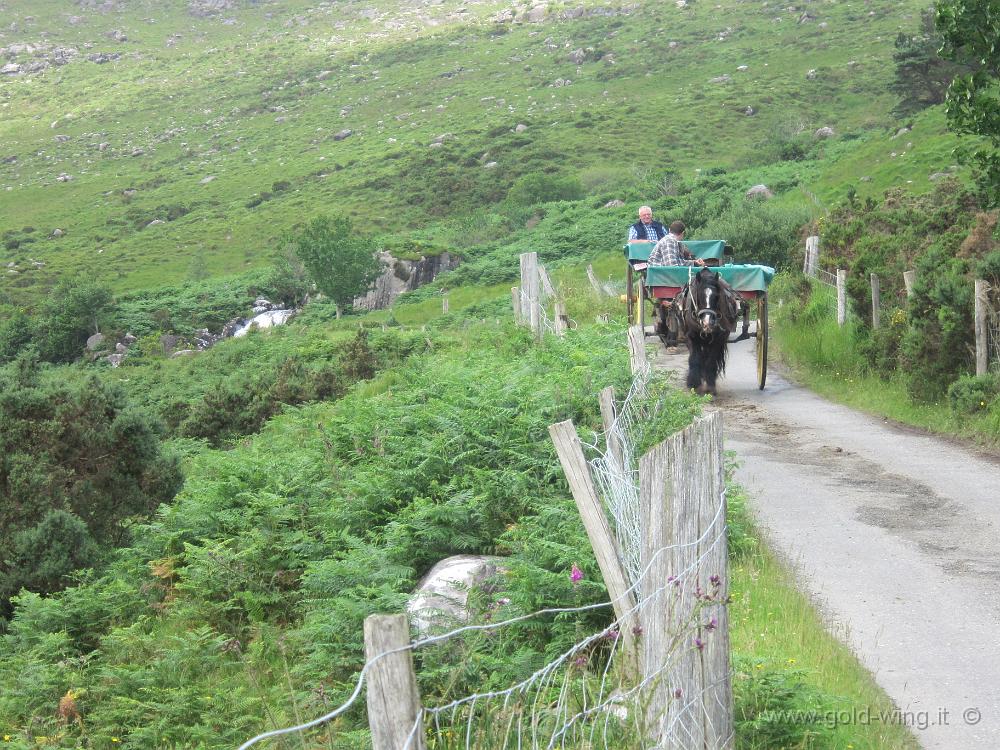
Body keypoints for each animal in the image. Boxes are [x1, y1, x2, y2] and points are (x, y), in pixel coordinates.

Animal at [676, 270, 740, 400]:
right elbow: (695, 359)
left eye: (716, 296)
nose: (707, 322)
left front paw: (710, 387)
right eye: (699, 295)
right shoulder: (691, 337)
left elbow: (711, 362)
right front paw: (694, 385)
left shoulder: (719, 339)